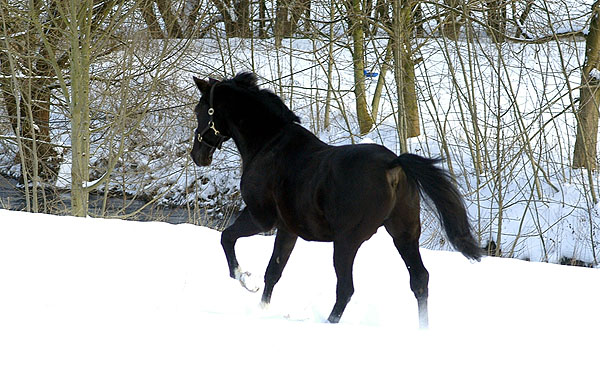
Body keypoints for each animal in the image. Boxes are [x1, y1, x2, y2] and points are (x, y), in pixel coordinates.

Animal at [190, 71, 480, 328]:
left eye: (199, 110)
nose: (197, 155)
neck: (268, 144)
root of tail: (393, 163)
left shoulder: (260, 218)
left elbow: (227, 238)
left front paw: (243, 279)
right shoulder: (287, 230)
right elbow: (273, 272)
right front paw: (261, 307)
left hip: (346, 242)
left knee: (346, 288)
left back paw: (328, 323)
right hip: (403, 234)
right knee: (419, 280)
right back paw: (423, 327)